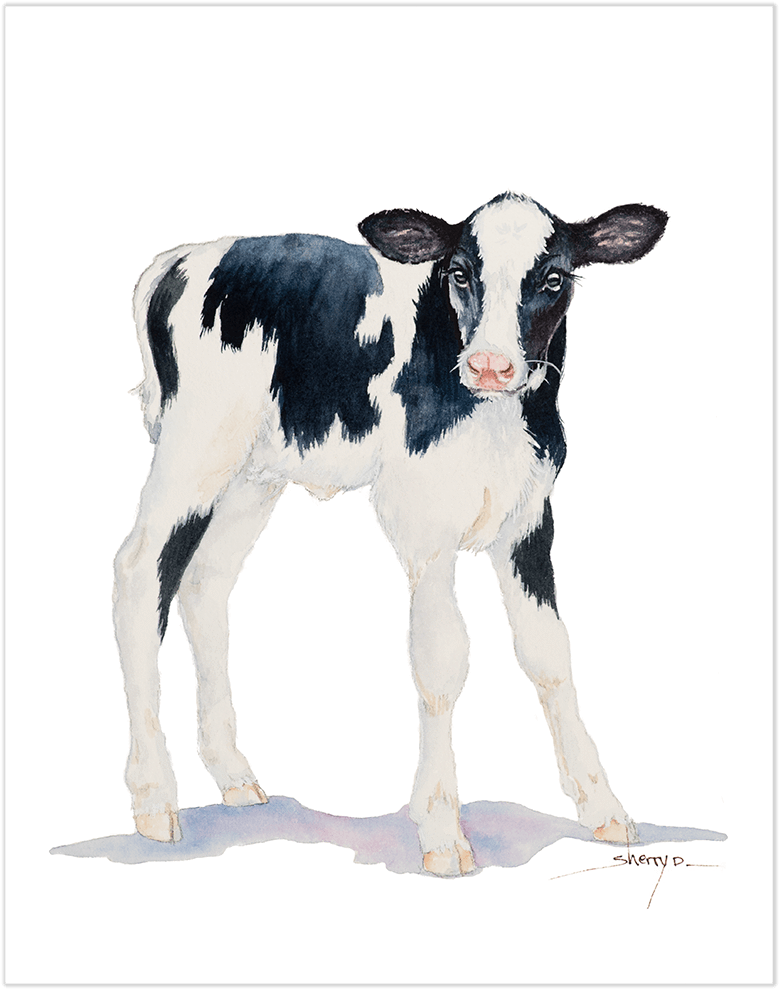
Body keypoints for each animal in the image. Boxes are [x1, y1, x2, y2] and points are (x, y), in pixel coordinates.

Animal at [114, 192, 667, 876]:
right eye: (459, 272)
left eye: (555, 277)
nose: (490, 365)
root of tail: (185, 255)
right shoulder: (423, 519)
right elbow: (442, 660)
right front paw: (441, 830)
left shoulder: (529, 517)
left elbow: (549, 655)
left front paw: (603, 807)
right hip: (194, 448)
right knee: (140, 572)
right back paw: (152, 798)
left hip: (252, 472)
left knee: (206, 582)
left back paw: (234, 775)